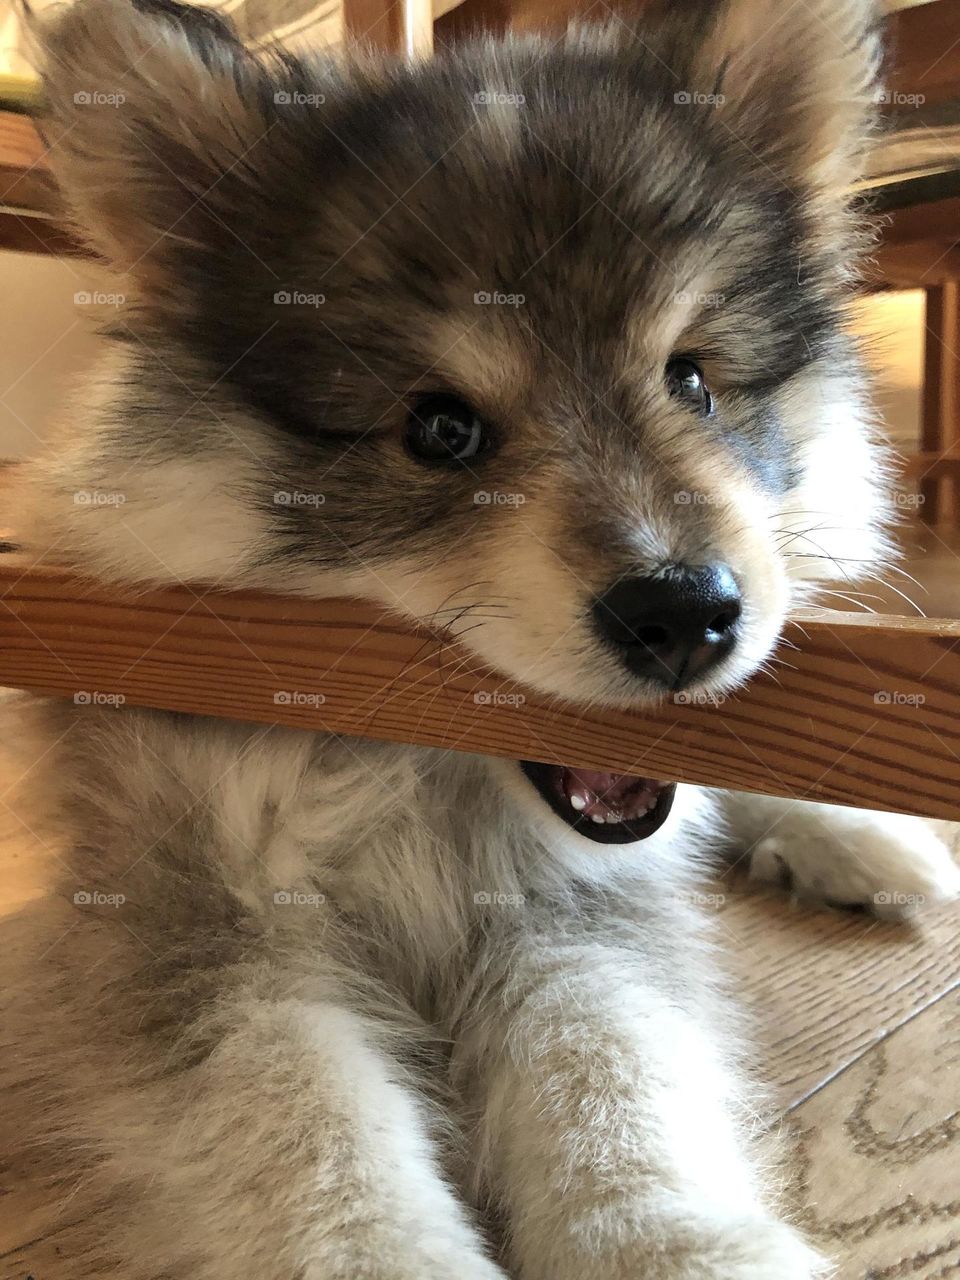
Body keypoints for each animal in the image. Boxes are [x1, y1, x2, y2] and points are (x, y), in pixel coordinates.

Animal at [3, 0, 957, 1274]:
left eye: (693, 381)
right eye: (440, 430)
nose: (684, 614)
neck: (421, 794)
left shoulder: (573, 919)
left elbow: (612, 1082)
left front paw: (674, 1243)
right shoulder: (206, 933)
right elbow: (313, 1142)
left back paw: (868, 839)